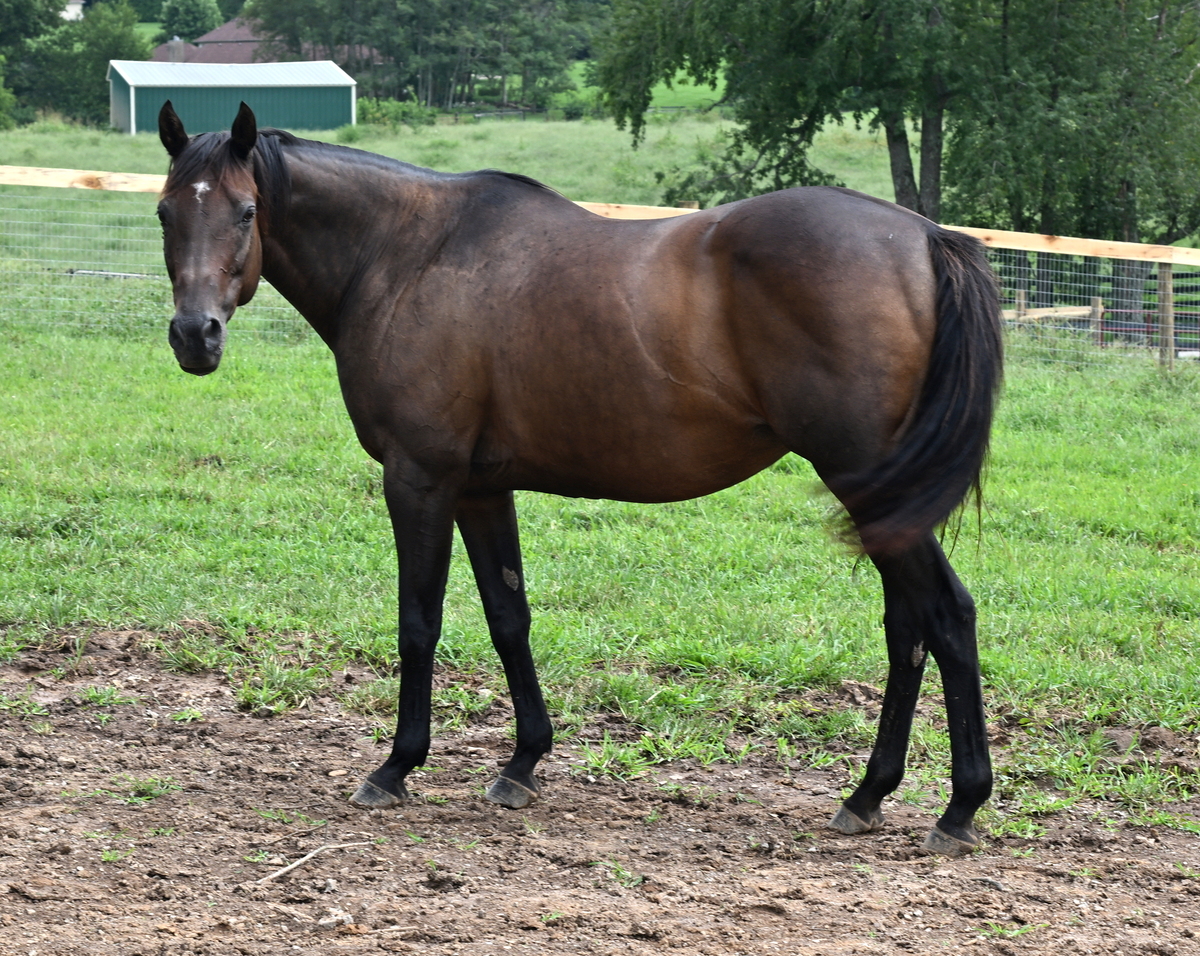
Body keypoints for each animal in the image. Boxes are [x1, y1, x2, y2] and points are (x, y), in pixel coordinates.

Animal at [156, 101, 1003, 856]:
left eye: (244, 213)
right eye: (166, 213)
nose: (195, 336)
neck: (407, 254)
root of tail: (923, 237)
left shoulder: (420, 478)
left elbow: (418, 622)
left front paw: (397, 766)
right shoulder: (481, 489)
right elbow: (508, 616)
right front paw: (523, 761)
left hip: (865, 481)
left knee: (948, 616)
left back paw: (959, 808)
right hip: (883, 498)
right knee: (907, 629)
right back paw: (867, 795)